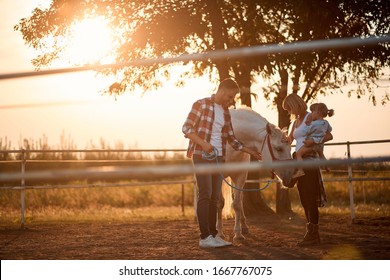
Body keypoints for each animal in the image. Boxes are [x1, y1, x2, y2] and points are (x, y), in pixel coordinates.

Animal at [216, 107, 292, 241]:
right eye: (279, 149)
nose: (291, 179)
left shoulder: (241, 176)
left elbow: (237, 204)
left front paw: (238, 233)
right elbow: (220, 203)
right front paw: (220, 233)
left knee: (240, 200)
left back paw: (244, 227)